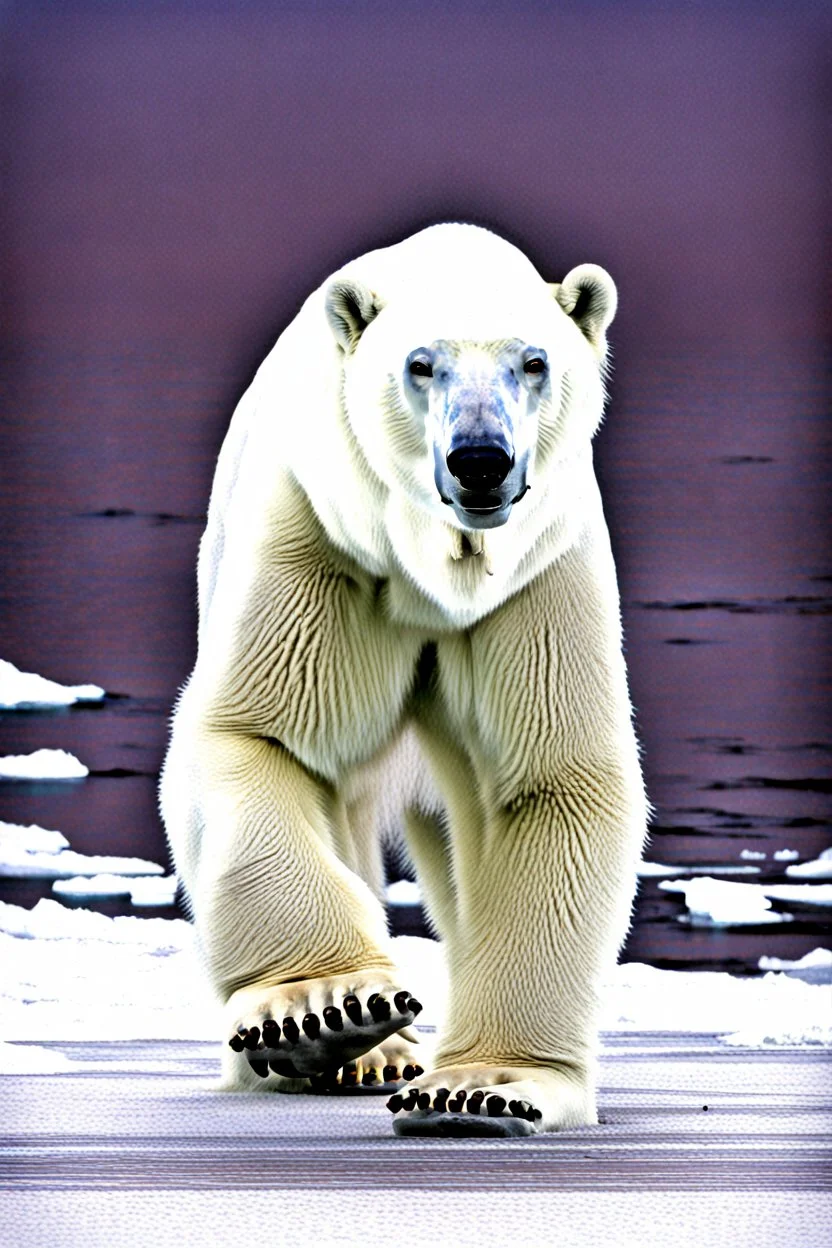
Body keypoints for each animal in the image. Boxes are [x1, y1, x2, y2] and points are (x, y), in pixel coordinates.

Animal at [157, 219, 648, 1138]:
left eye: (534, 361)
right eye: (423, 364)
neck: (431, 571)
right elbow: (260, 734)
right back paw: (365, 1054)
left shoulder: (537, 570)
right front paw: (323, 1009)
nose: (481, 459)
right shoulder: (321, 534)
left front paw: (485, 1088)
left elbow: (553, 778)